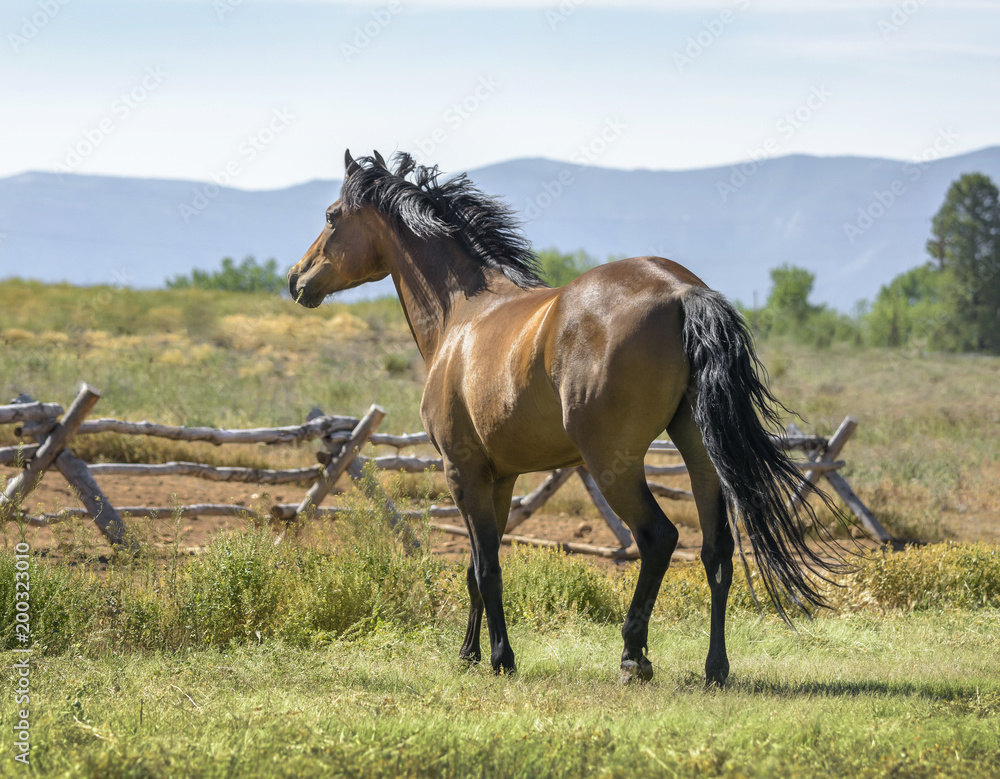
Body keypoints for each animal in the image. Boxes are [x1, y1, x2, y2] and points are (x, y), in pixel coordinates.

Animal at [288, 149, 845, 685]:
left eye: (332, 216)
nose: (296, 278)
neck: (461, 316)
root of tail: (683, 292)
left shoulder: (461, 472)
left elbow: (487, 569)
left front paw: (499, 658)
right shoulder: (500, 478)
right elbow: (474, 569)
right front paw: (469, 654)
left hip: (613, 465)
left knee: (658, 538)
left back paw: (633, 658)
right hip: (699, 451)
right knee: (717, 550)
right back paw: (715, 667)